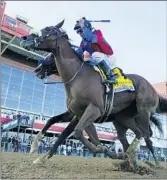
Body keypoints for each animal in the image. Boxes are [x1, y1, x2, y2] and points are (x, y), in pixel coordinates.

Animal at [19, 19, 167, 169]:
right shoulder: (77, 112)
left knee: (146, 134)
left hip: (143, 109)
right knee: (133, 135)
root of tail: (154, 90)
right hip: (123, 118)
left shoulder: (93, 110)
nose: (37, 69)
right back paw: (131, 161)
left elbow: (75, 132)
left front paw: (103, 150)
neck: (78, 77)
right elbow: (57, 124)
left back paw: (151, 163)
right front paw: (37, 151)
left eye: (48, 30)